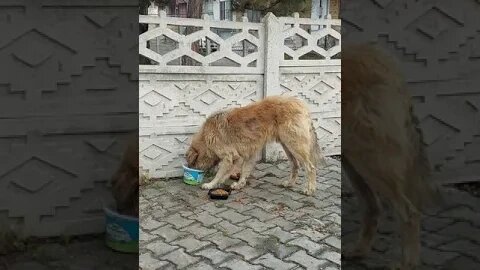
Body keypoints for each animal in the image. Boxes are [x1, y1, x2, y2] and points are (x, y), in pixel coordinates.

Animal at [185, 96, 326, 195]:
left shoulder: (229, 156)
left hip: (294, 145)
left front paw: (211, 184)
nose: (192, 169)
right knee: (295, 165)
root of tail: (302, 106)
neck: (205, 136)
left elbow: (220, 173)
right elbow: (243, 171)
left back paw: (310, 189)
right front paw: (239, 184)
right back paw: (290, 183)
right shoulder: (245, 155)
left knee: (310, 167)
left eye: (192, 163)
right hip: (287, 146)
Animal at [342, 44, 438, 268]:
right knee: (373, 207)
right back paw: (359, 250)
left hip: (371, 159)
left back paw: (406, 265)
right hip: (354, 159)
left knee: (409, 212)